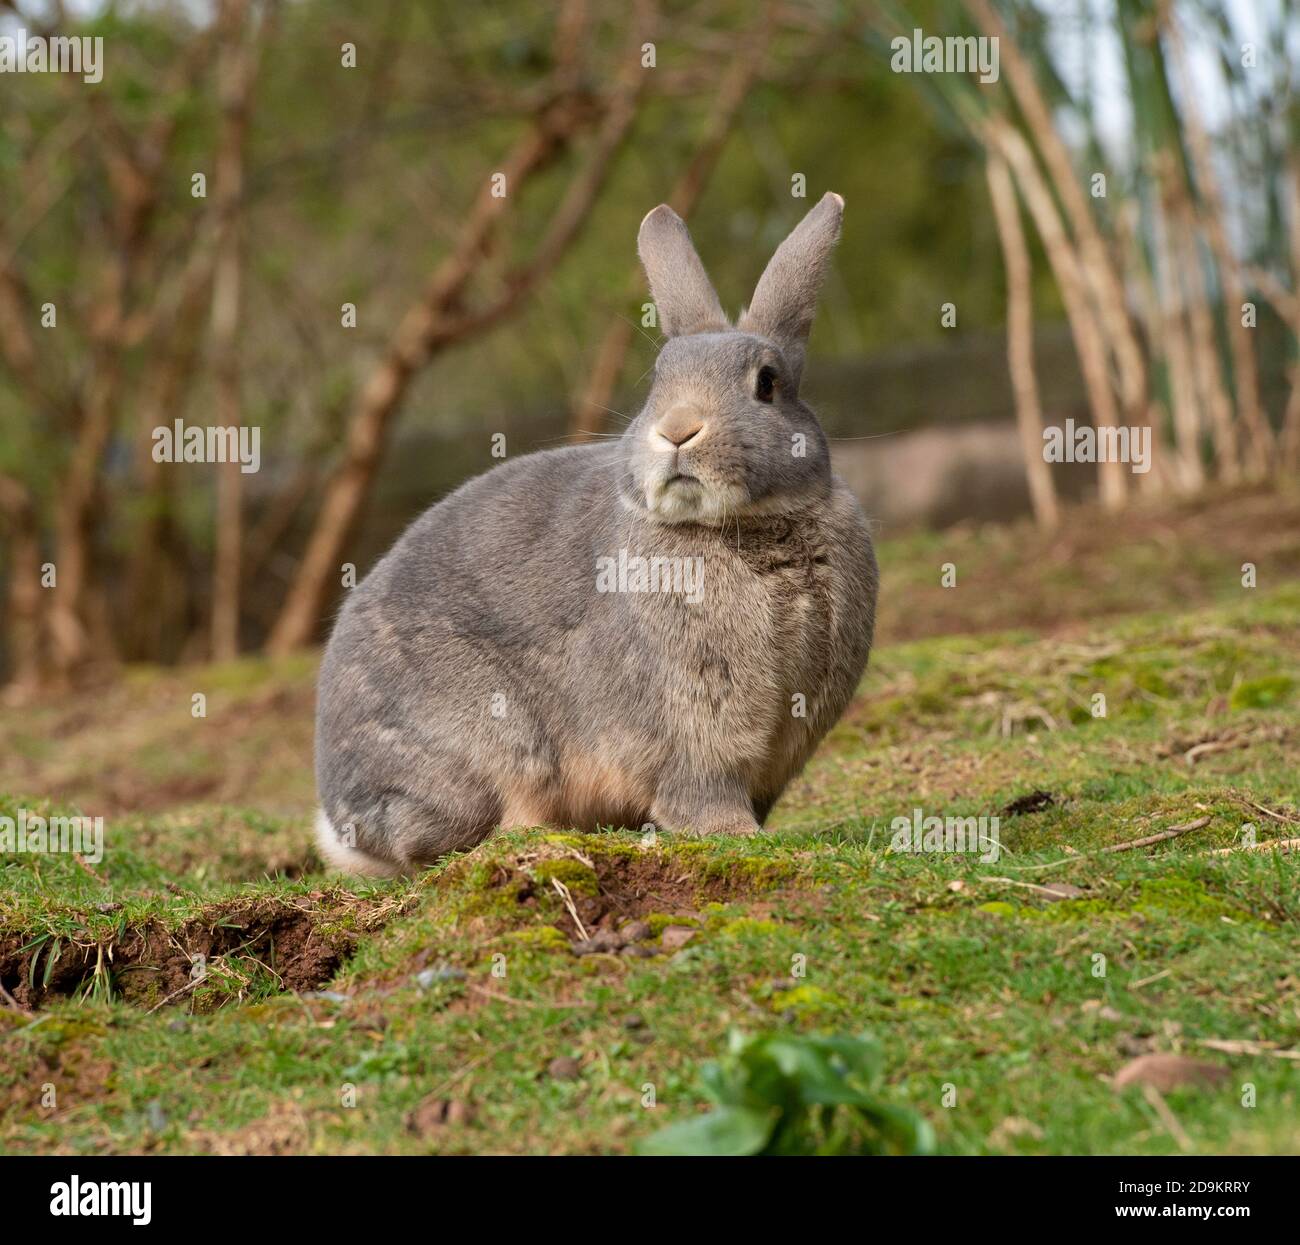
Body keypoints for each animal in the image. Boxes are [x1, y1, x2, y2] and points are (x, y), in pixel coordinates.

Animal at [315, 192, 878, 878]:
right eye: (657, 379)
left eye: (766, 383)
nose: (677, 429)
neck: (741, 526)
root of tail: (343, 820)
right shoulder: (698, 721)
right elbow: (703, 788)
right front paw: (735, 836)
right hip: (484, 747)